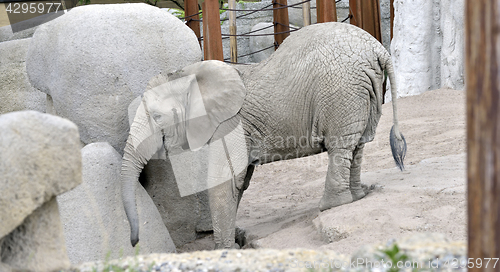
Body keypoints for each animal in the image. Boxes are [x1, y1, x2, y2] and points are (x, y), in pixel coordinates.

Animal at [120, 22, 406, 250]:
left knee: (340, 147)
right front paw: (234, 244)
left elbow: (225, 182)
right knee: (357, 145)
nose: (134, 242)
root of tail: (377, 48)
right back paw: (357, 196)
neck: (190, 74)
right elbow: (239, 182)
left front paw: (225, 250)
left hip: (342, 90)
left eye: (157, 117)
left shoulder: (230, 123)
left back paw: (331, 204)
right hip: (364, 89)